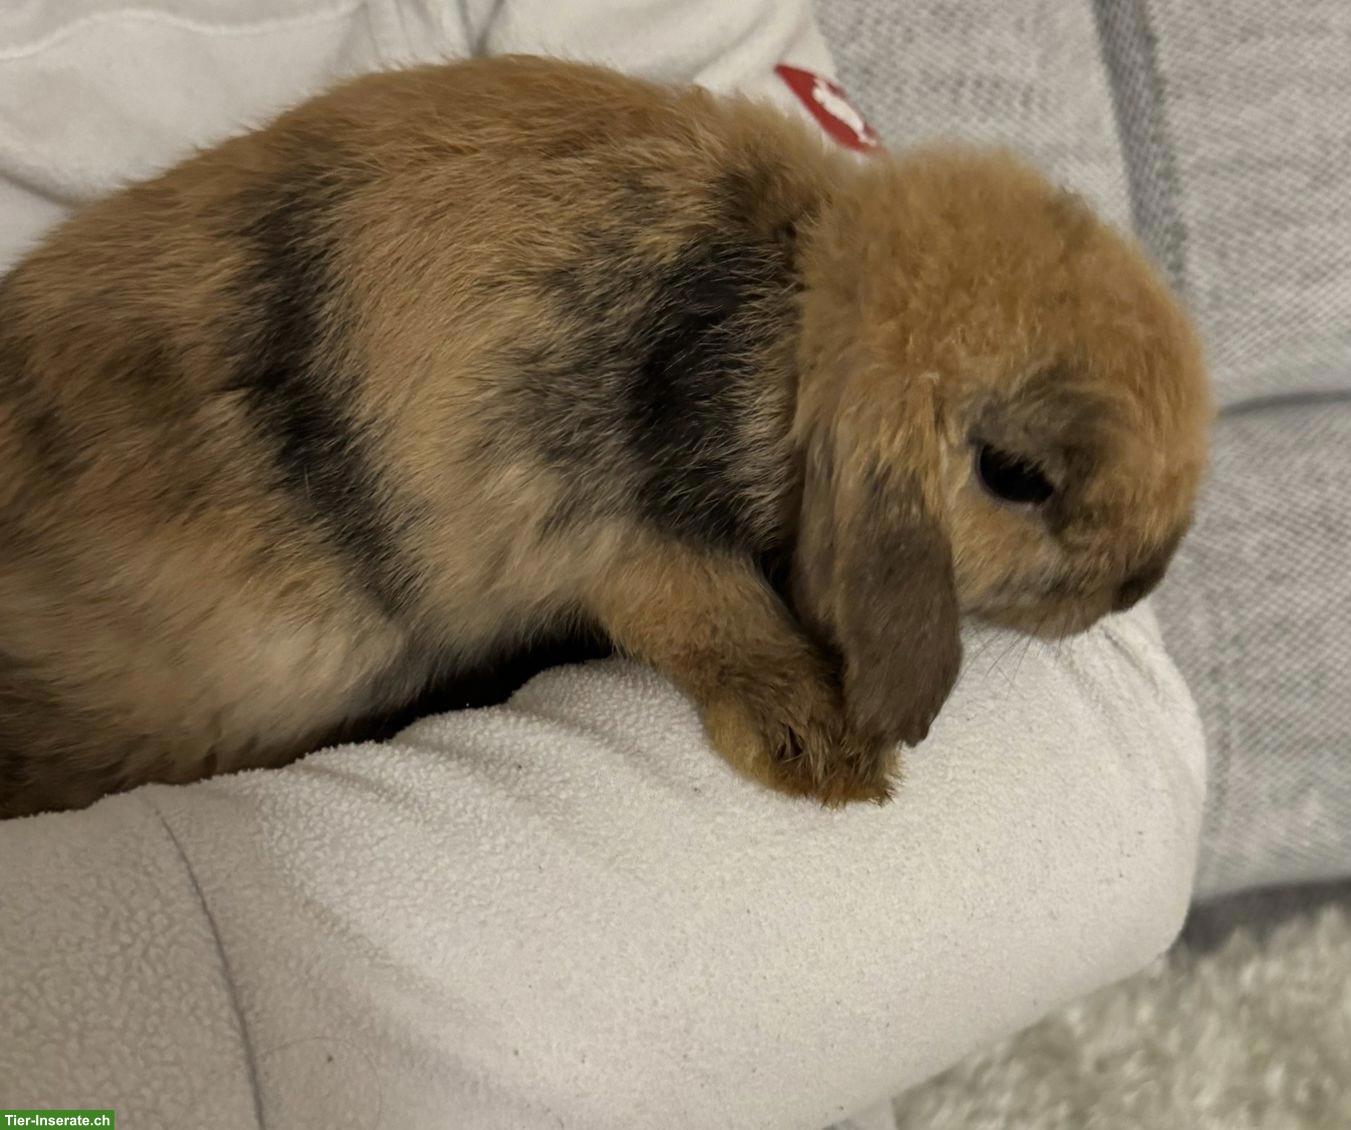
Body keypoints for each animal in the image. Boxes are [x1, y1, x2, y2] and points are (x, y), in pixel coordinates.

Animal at [0, 55, 1210, 819]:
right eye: (1015, 474)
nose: (1142, 583)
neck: (782, 323)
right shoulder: (621, 538)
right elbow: (714, 623)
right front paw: (829, 760)